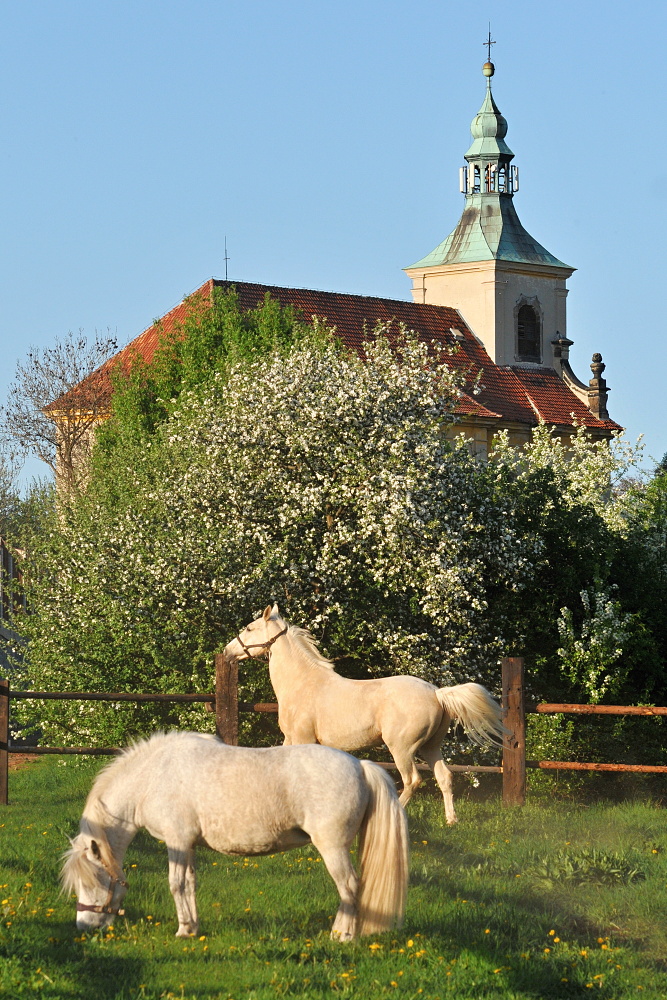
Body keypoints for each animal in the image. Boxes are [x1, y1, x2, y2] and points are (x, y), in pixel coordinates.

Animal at [62, 732, 408, 940]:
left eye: (92, 881)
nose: (83, 927)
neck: (151, 778)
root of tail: (361, 765)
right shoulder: (188, 845)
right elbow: (190, 884)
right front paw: (192, 927)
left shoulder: (176, 841)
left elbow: (176, 884)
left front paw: (182, 930)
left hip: (332, 847)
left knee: (349, 886)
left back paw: (343, 935)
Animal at [226, 604, 506, 824]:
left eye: (249, 628)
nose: (228, 652)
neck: (302, 683)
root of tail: (436, 692)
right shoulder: (290, 739)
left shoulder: (303, 739)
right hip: (431, 747)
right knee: (444, 777)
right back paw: (451, 820)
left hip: (402, 748)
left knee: (412, 780)